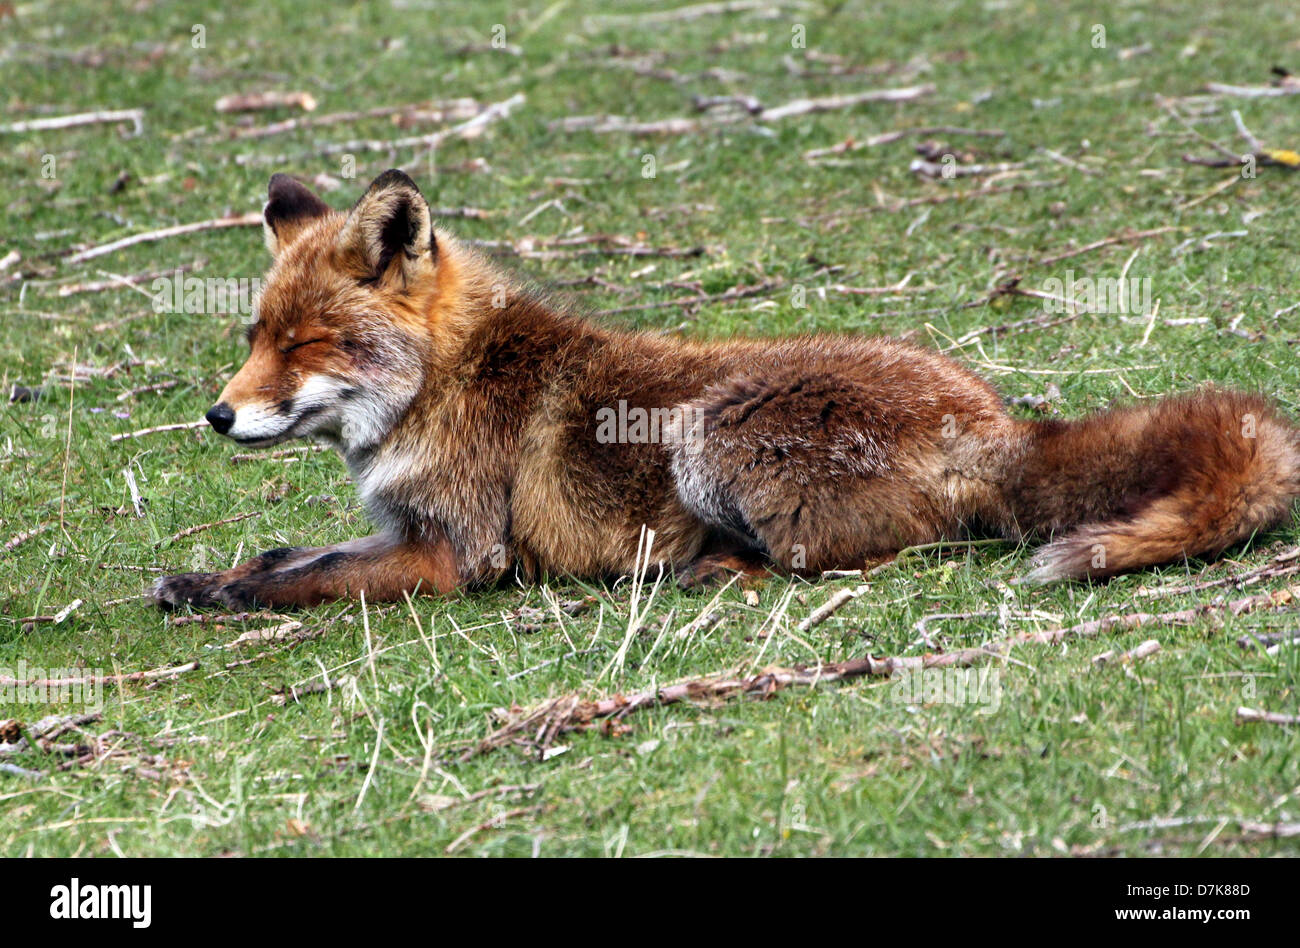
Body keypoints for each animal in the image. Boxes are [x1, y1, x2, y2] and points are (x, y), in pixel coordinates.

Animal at [152, 171, 1300, 611]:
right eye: (254, 339)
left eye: (308, 343)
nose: (218, 413)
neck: (446, 384)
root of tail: (993, 423)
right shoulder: (404, 527)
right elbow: (287, 555)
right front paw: (209, 575)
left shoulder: (454, 552)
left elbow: (302, 579)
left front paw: (220, 596)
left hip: (710, 438)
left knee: (847, 556)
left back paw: (705, 569)